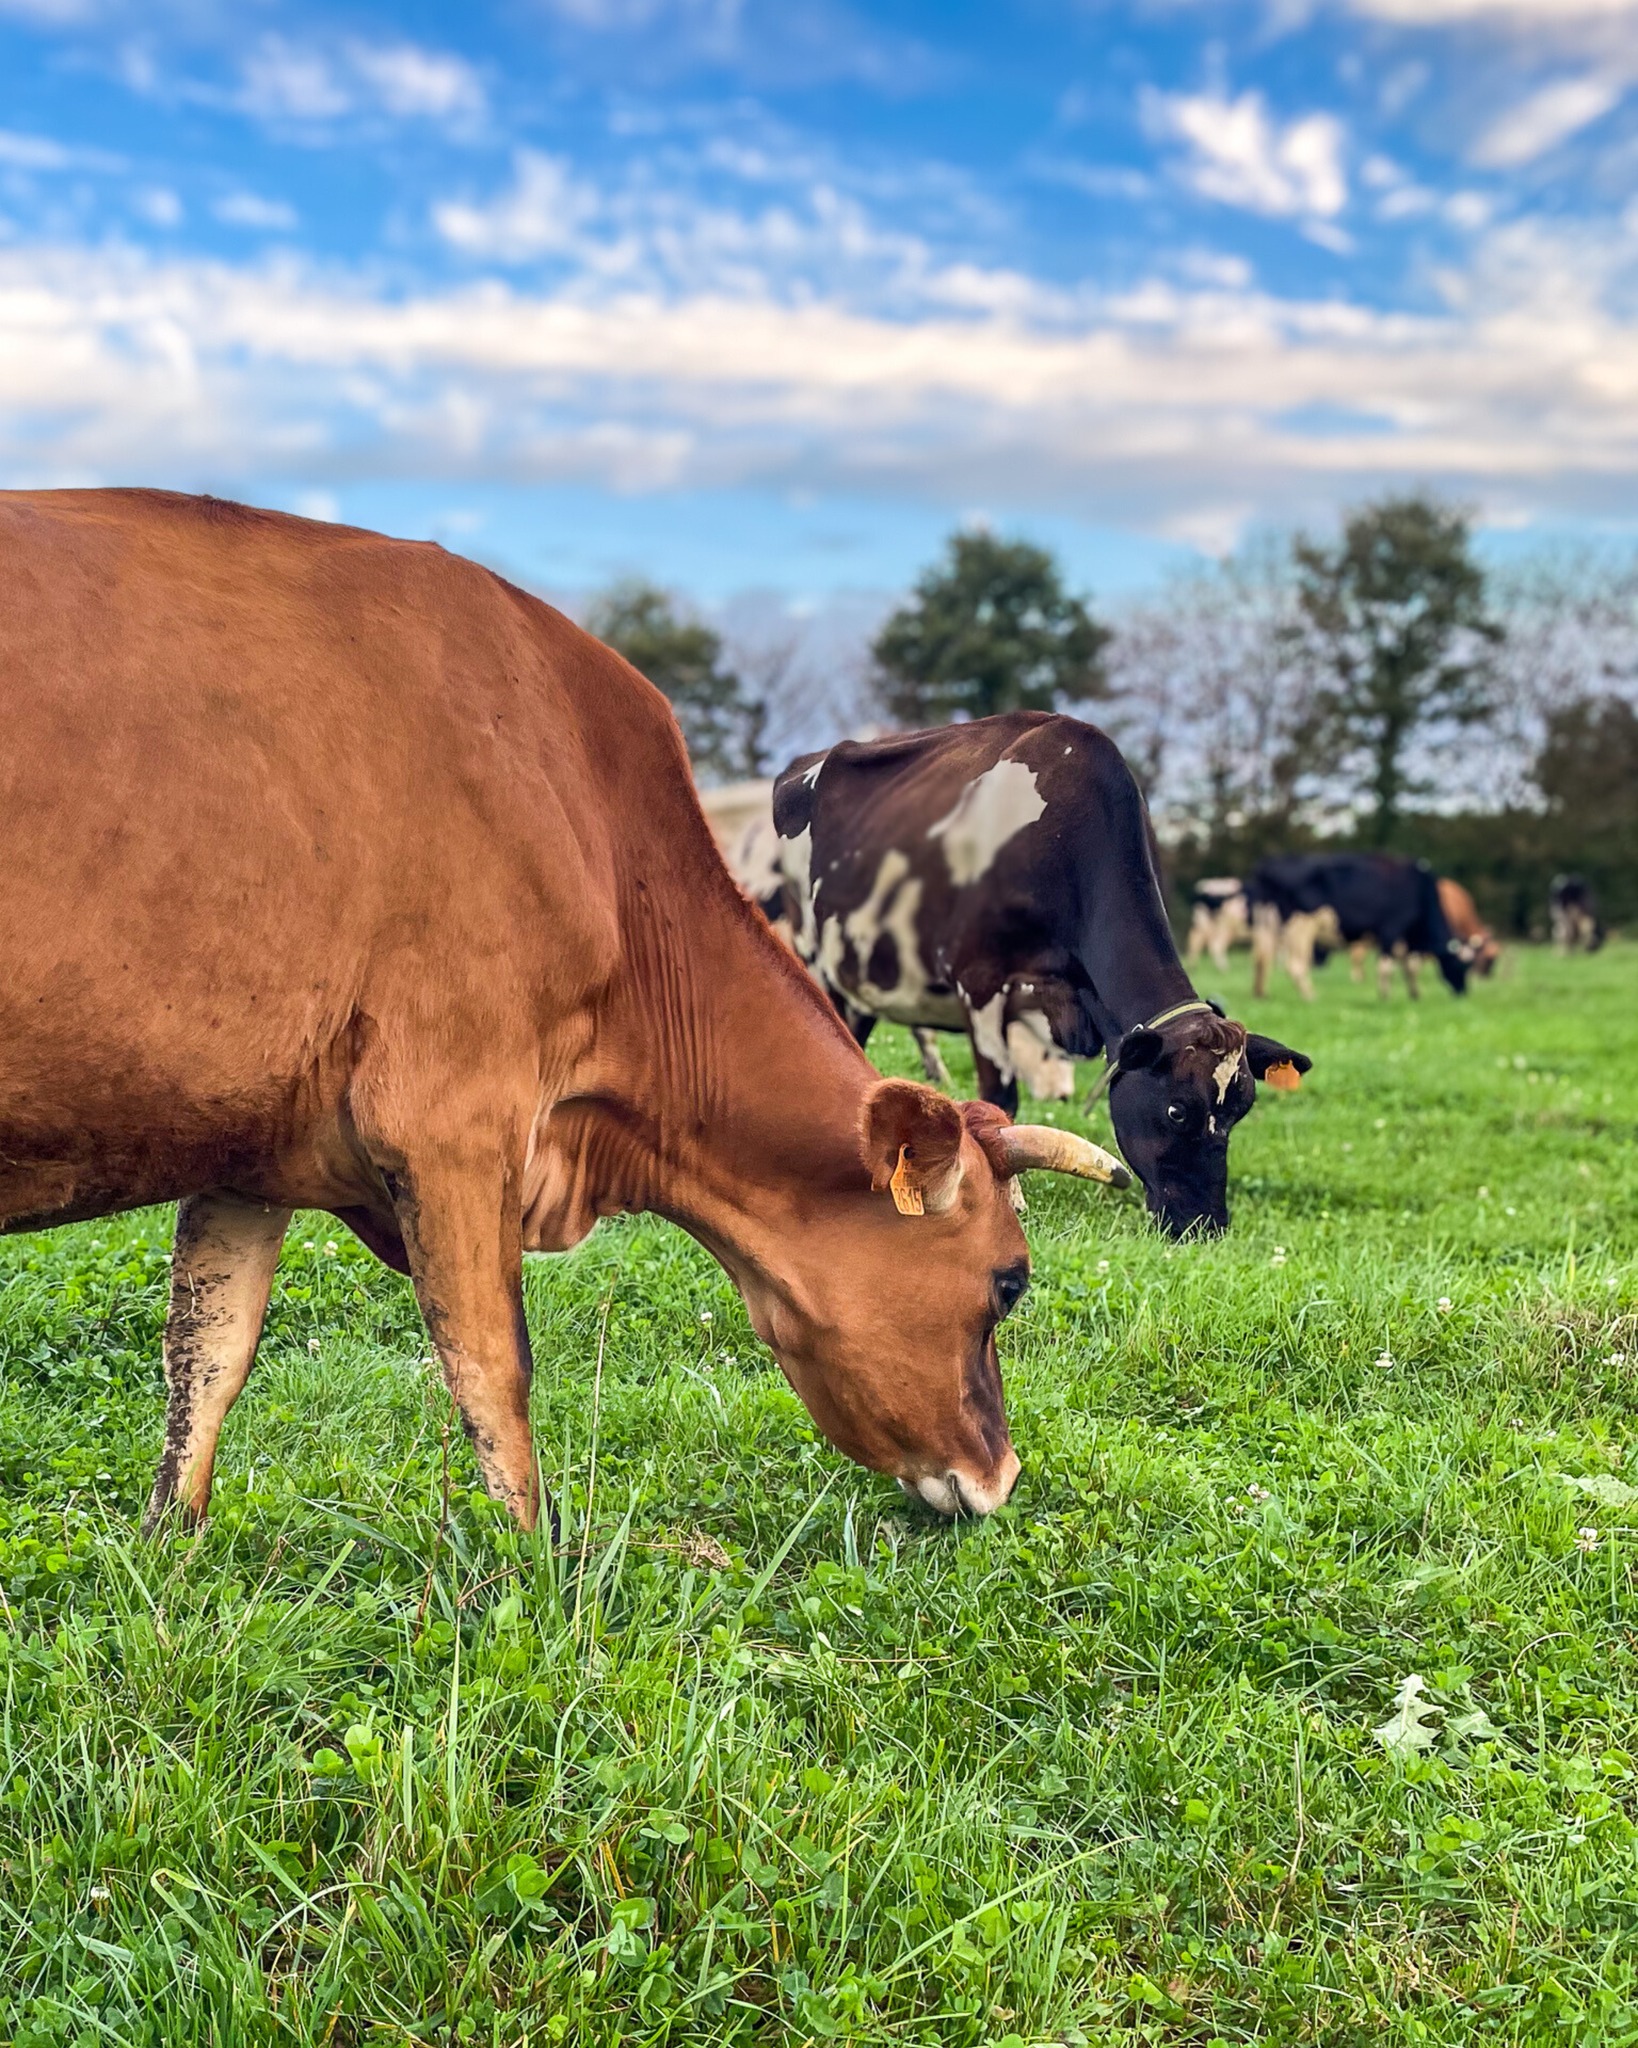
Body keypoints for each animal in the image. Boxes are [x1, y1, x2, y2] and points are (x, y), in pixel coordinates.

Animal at [0, 490, 1134, 1531]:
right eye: (1010, 1281)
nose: (1002, 1477)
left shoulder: (250, 1142)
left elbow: (207, 1357)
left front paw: (169, 1549)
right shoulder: (452, 1120)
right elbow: (492, 1365)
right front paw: (532, 1566)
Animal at [772, 713, 1311, 1239]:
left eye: (1241, 1110)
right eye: (1177, 1110)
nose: (1206, 1225)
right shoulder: (980, 984)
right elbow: (999, 1098)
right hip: (811, 957)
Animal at [1248, 854, 1469, 1000]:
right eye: (1461, 966)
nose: (1463, 992)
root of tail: (1267, 866)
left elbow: (1409, 966)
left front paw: (1414, 994)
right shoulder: (1391, 929)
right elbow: (1388, 966)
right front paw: (1385, 996)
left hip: (1267, 925)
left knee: (1261, 960)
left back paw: (1261, 993)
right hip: (1300, 926)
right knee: (1295, 965)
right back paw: (1311, 995)